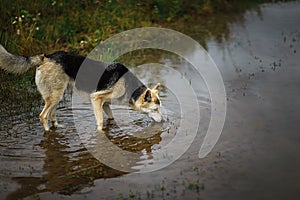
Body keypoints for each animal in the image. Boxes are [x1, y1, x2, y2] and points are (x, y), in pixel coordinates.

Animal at [0, 45, 162, 133]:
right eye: (155, 109)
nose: (163, 121)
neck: (129, 87)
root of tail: (45, 57)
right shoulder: (96, 98)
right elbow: (100, 122)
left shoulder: (105, 104)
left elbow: (110, 118)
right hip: (55, 96)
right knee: (42, 116)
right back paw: (48, 132)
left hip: (57, 96)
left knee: (51, 115)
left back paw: (58, 127)